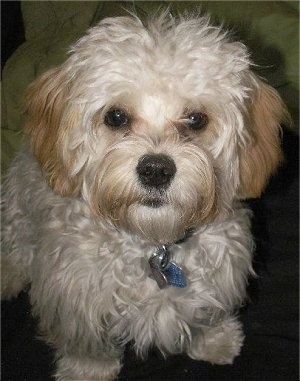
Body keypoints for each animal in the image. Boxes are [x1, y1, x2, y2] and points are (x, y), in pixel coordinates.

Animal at [1, 12, 288, 380]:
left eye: (196, 119)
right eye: (116, 116)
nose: (156, 170)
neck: (154, 243)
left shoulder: (223, 271)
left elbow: (208, 315)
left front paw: (215, 340)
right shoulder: (77, 298)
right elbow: (88, 345)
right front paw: (87, 371)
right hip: (19, 203)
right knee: (16, 244)